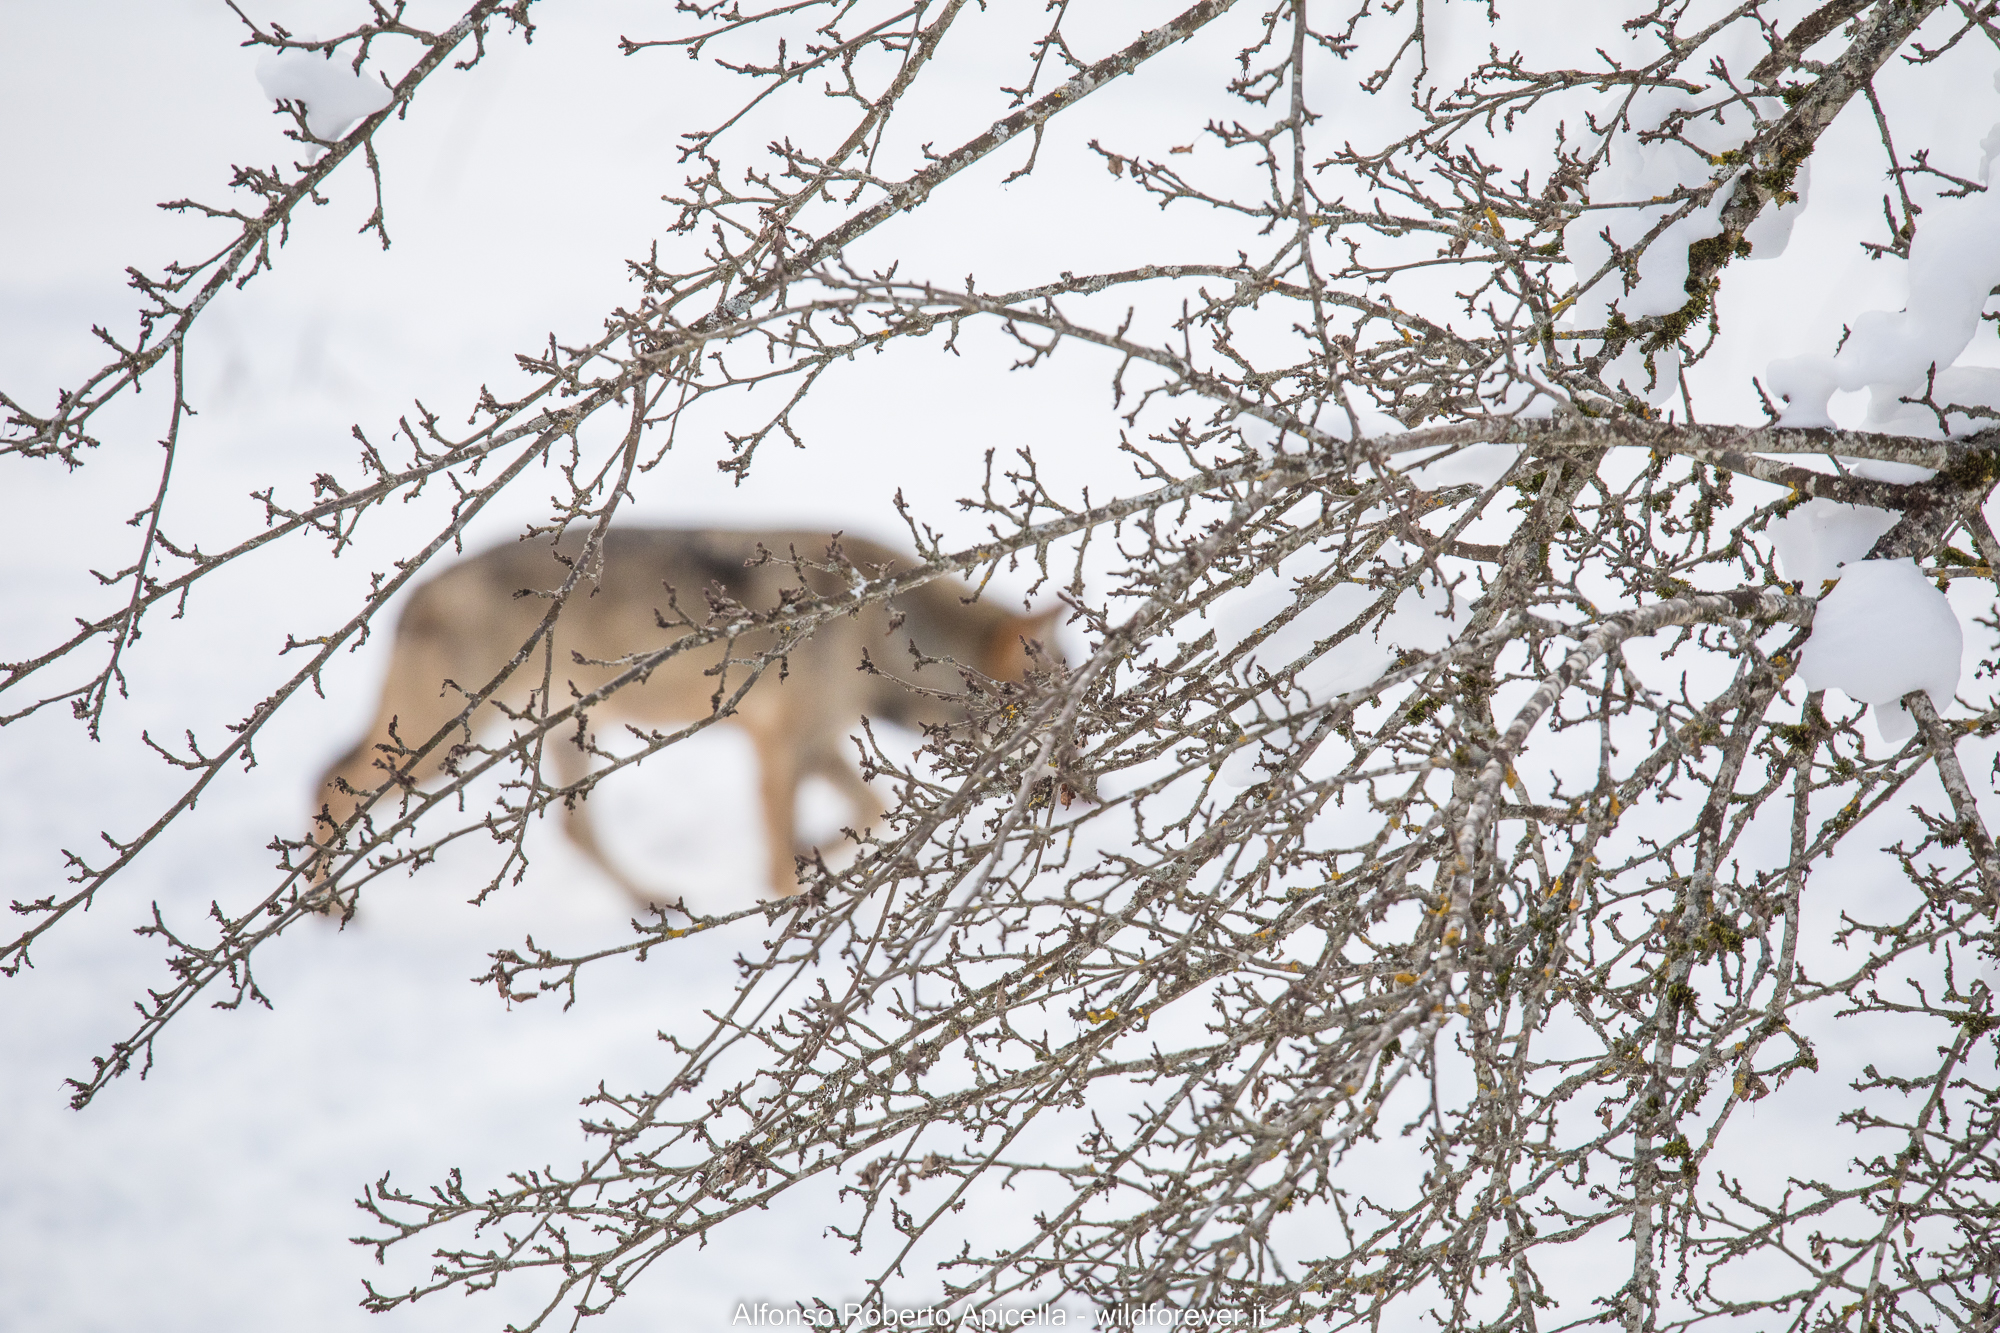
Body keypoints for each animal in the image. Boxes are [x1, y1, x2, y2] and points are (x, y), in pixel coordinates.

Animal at [310, 528, 1059, 903]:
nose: (1075, 791)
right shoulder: (782, 748)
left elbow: (867, 811)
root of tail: (416, 597)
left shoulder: (818, 742)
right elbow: (793, 853)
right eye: (1048, 711)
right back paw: (327, 907)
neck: (878, 632)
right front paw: (788, 892)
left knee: (575, 831)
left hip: (558, 734)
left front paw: (814, 853)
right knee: (327, 785)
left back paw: (652, 901)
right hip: (442, 747)